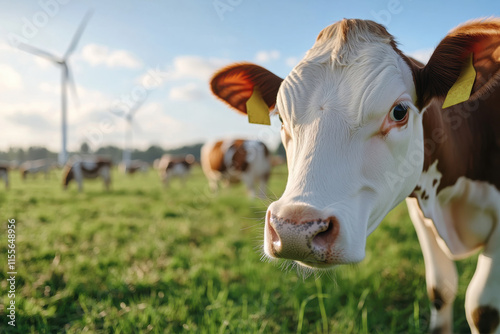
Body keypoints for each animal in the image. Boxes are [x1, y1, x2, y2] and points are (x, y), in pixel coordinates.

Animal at [209, 18, 500, 334]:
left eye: (399, 111)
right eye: (282, 118)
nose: (293, 231)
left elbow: (482, 310)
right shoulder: (422, 218)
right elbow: (440, 290)